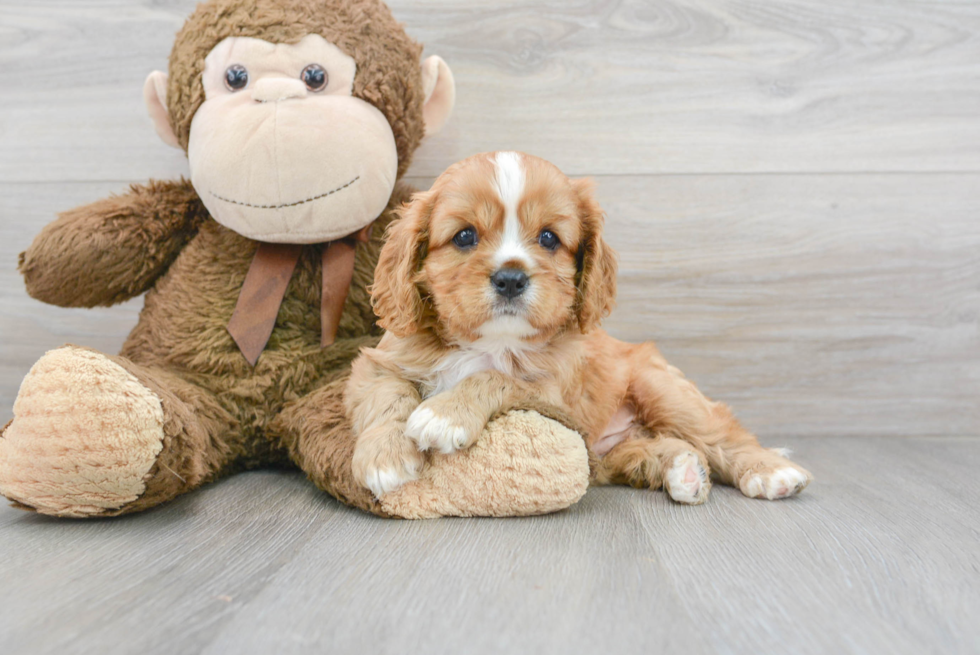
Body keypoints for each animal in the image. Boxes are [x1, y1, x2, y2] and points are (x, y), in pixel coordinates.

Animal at [346, 152, 812, 502]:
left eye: (549, 238)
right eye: (464, 236)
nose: (511, 278)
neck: (492, 342)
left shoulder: (552, 395)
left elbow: (494, 377)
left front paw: (444, 415)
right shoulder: (379, 362)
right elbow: (388, 394)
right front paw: (384, 456)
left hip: (662, 389)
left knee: (719, 432)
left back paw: (771, 471)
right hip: (609, 454)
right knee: (657, 449)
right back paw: (685, 471)